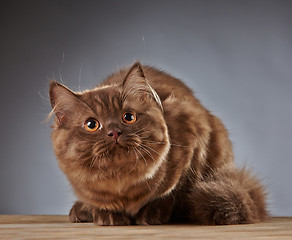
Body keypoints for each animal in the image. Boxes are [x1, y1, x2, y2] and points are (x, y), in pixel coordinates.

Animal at [49, 61, 266, 225]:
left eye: (128, 117)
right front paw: (106, 215)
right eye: (92, 125)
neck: (121, 181)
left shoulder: (192, 137)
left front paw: (151, 214)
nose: (114, 132)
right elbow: (98, 200)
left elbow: (172, 192)